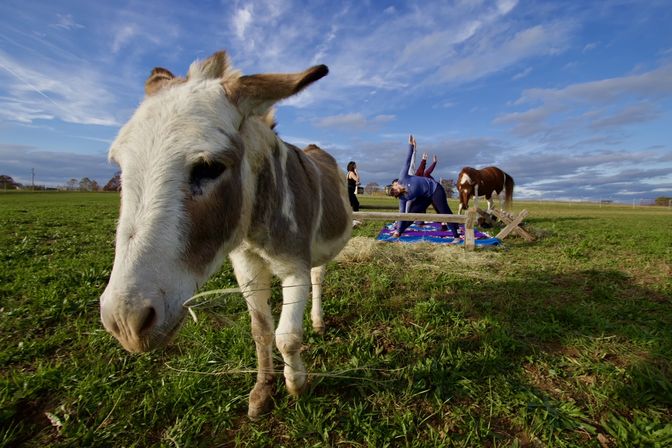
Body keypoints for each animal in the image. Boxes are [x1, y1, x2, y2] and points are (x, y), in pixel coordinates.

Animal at [99, 51, 352, 419]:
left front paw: (297, 386)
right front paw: (263, 391)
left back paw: (317, 321)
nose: (125, 322)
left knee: (319, 277)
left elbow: (287, 336)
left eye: (209, 168)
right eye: (120, 166)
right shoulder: (246, 267)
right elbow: (261, 330)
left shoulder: (295, 267)